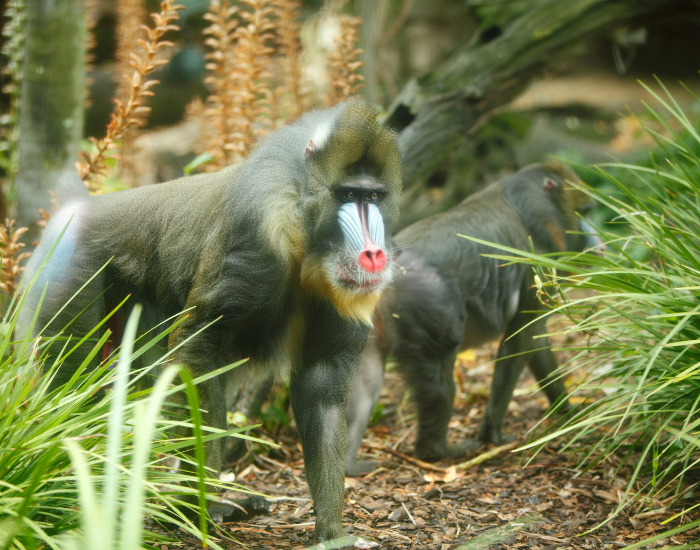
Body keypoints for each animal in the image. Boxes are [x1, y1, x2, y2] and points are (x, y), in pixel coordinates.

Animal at [17, 97, 402, 542]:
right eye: (348, 194)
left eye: (373, 196)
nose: (373, 255)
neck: (305, 234)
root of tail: (77, 207)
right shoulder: (252, 238)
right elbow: (195, 354)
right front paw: (197, 506)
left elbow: (322, 393)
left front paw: (331, 533)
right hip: (68, 285)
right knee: (73, 384)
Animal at [343, 162, 604, 476]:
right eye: (584, 212)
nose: (600, 243)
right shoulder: (535, 266)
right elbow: (523, 338)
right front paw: (493, 434)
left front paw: (567, 410)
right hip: (428, 314)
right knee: (440, 385)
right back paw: (440, 450)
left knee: (368, 385)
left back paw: (348, 465)